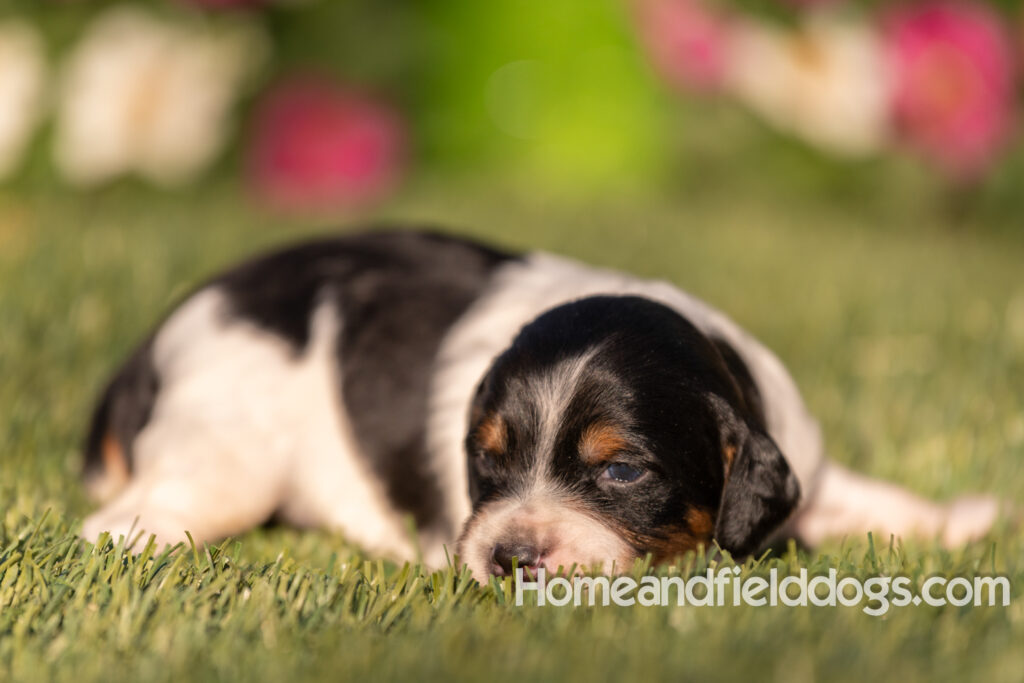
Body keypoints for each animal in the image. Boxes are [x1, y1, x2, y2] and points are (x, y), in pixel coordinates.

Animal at [81, 228, 999, 577]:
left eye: (621, 471)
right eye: (485, 458)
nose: (508, 559)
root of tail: (154, 340)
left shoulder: (802, 458)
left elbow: (867, 497)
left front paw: (962, 519)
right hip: (224, 455)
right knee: (126, 517)